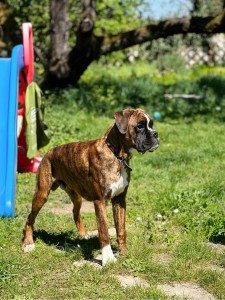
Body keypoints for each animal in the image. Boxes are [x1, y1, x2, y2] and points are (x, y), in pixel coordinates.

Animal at [21, 108, 158, 264]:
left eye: (151, 124)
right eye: (140, 126)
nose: (155, 134)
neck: (117, 155)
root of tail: (49, 152)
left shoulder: (119, 200)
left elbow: (121, 229)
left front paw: (123, 252)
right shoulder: (100, 201)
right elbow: (104, 231)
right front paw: (108, 258)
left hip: (76, 196)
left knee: (75, 212)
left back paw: (83, 235)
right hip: (42, 194)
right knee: (30, 218)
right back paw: (28, 243)